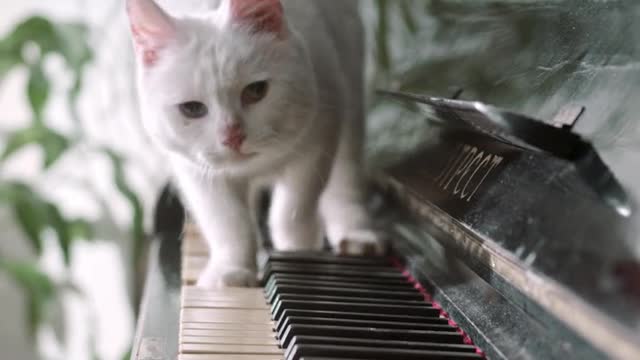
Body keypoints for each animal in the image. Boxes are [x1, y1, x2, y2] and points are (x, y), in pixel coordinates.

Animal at [127, 0, 382, 288]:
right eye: (192, 109)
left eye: (256, 91)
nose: (232, 136)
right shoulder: (196, 171)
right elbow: (229, 222)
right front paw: (232, 271)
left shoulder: (320, 137)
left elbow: (294, 208)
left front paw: (296, 250)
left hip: (350, 90)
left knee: (345, 177)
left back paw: (357, 234)